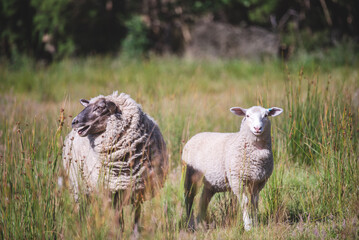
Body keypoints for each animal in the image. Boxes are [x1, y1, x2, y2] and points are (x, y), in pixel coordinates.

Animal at [62, 92, 169, 234]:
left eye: (100, 107)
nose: (74, 122)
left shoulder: (138, 189)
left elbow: (136, 215)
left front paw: (135, 234)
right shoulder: (111, 192)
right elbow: (118, 220)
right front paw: (119, 233)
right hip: (78, 186)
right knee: (81, 208)